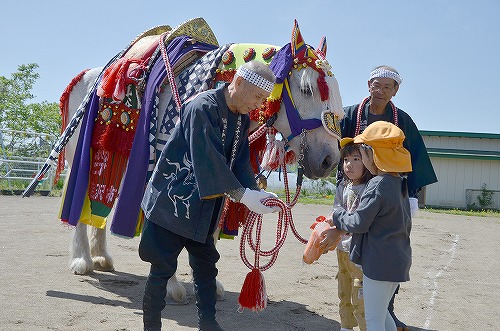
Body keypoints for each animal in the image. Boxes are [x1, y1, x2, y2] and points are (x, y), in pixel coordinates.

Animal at [24, 18, 344, 308]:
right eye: (306, 89)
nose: (330, 159)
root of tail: (87, 75)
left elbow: (209, 225)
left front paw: (211, 281)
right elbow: (167, 223)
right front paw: (173, 286)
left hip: (114, 155)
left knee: (100, 197)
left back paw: (102, 256)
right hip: (82, 151)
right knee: (79, 195)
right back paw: (82, 259)